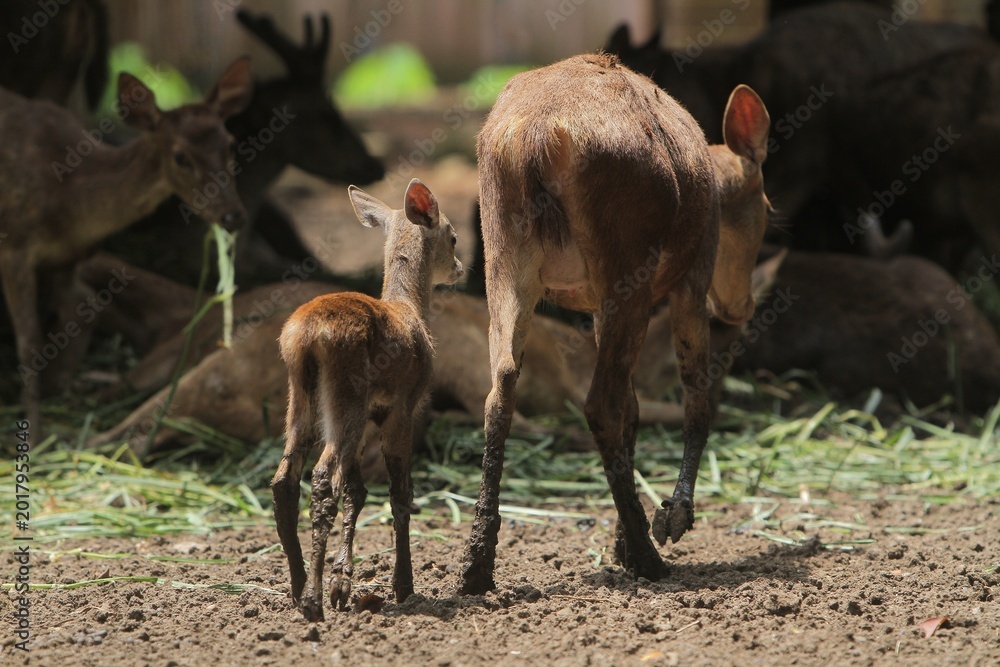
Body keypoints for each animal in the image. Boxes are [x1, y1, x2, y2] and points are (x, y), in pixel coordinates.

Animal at [0, 57, 253, 434]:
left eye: (231, 144)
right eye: (180, 156)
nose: (233, 215)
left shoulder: (69, 255)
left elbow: (79, 310)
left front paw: (58, 390)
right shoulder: (13, 246)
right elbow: (29, 342)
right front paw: (34, 430)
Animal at [271, 179, 463, 620]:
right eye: (453, 236)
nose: (462, 268)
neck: (411, 311)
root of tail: (308, 336)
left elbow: (357, 491)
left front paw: (344, 584)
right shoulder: (404, 406)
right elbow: (400, 494)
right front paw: (403, 587)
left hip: (301, 395)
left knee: (284, 479)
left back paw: (298, 587)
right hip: (347, 394)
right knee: (322, 478)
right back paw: (312, 602)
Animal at [458, 53, 771, 594]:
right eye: (769, 211)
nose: (741, 306)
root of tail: (538, 139)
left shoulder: (596, 305)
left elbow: (634, 407)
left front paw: (626, 538)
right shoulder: (691, 279)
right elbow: (695, 401)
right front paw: (670, 519)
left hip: (504, 258)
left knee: (500, 391)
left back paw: (477, 564)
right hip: (628, 266)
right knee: (600, 403)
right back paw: (651, 558)